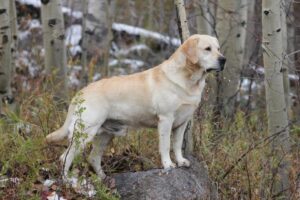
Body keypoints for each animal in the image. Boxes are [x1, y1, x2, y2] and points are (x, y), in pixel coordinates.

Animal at [46, 34, 225, 178]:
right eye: (207, 49)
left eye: (218, 48)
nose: (223, 60)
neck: (189, 80)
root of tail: (81, 92)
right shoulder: (166, 119)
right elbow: (166, 145)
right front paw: (168, 165)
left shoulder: (182, 123)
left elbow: (177, 145)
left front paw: (181, 161)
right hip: (85, 132)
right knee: (65, 157)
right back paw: (68, 182)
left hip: (106, 134)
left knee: (93, 158)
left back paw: (103, 179)